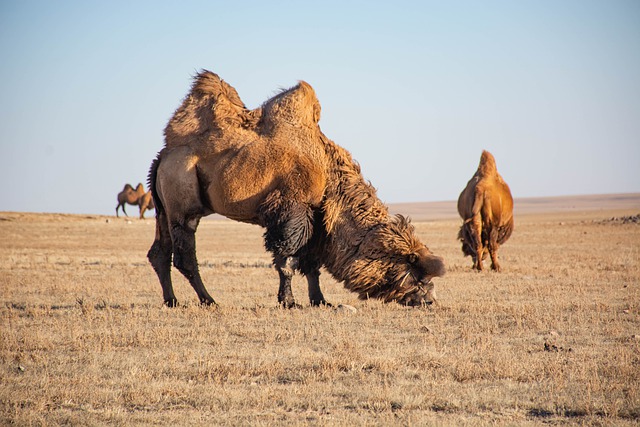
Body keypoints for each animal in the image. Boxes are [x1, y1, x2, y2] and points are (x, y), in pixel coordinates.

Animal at [148, 72, 444, 310]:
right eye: (416, 272)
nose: (429, 300)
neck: (329, 175)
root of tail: (163, 156)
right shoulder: (293, 212)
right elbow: (287, 262)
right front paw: (289, 302)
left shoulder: (317, 219)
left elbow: (312, 265)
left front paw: (320, 300)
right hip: (183, 202)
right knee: (185, 256)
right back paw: (209, 300)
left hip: (163, 209)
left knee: (159, 253)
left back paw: (171, 300)